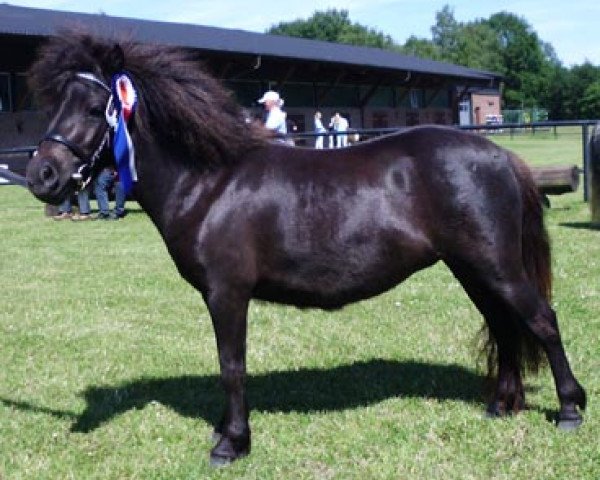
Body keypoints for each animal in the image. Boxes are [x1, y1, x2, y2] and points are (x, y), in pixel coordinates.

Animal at [25, 31, 584, 464]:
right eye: (54, 106)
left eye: (95, 108)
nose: (42, 176)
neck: (211, 182)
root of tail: (504, 157)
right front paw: (226, 431)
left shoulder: (227, 293)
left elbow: (232, 365)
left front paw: (232, 443)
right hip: (472, 268)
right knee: (504, 326)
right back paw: (501, 405)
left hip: (496, 266)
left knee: (541, 321)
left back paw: (570, 409)